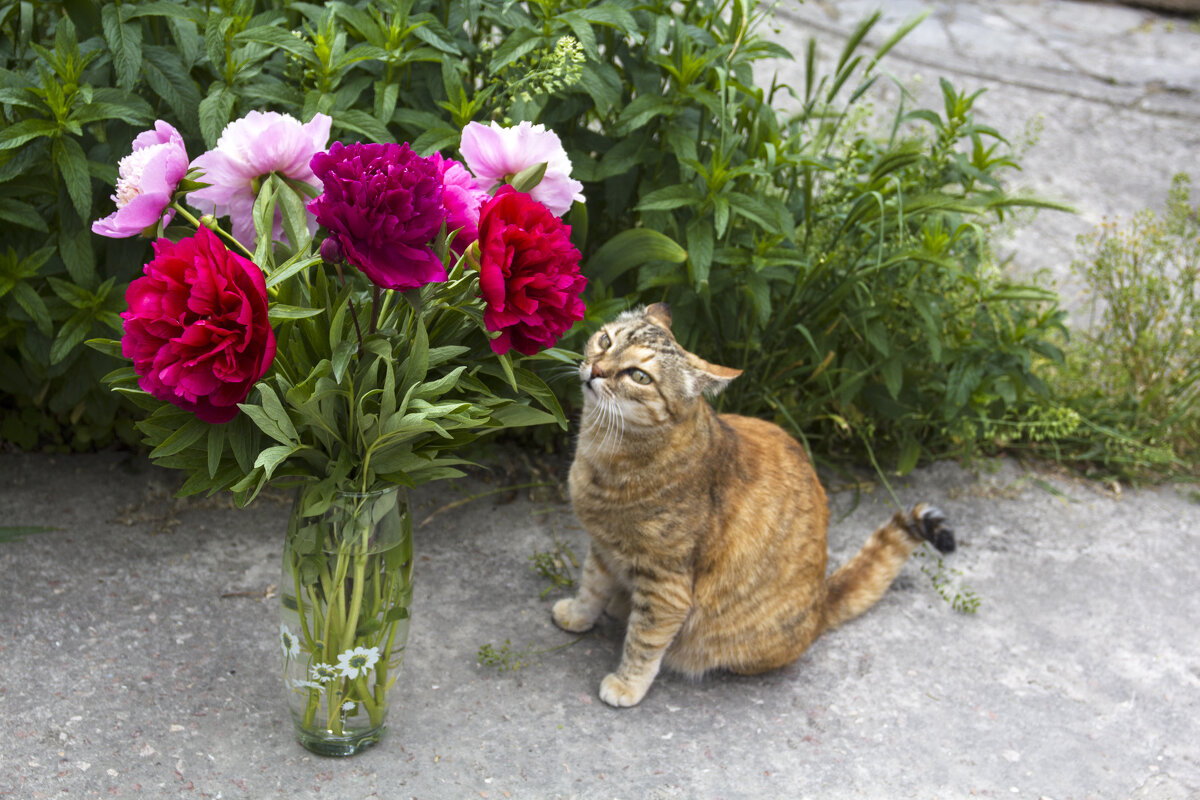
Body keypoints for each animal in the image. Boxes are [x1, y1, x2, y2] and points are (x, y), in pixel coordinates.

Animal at [552, 304, 955, 705]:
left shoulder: (666, 586)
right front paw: (577, 614)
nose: (596, 370)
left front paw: (627, 684)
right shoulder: (603, 548)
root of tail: (821, 602)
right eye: (605, 341)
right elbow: (591, 587)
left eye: (639, 376)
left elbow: (644, 642)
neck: (605, 452)